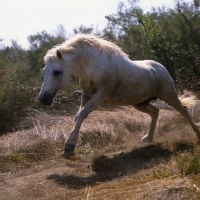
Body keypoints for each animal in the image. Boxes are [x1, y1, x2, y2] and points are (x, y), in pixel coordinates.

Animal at [38, 33, 200, 157]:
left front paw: (69, 146)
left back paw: (197, 132)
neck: (92, 66)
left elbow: (82, 114)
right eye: (44, 70)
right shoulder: (86, 95)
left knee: (183, 110)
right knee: (155, 112)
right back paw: (148, 138)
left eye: (57, 71)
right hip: (140, 103)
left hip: (169, 95)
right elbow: (79, 116)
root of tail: (160, 68)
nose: (43, 99)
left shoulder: (102, 94)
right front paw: (69, 146)